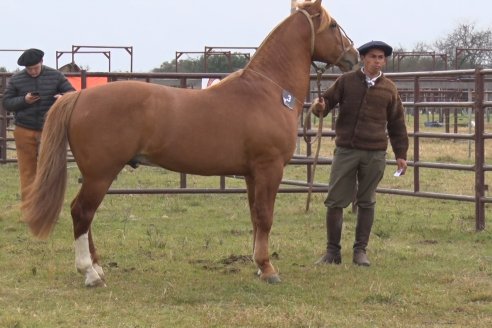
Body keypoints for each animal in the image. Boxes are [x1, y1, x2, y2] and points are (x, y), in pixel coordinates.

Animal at [21, 0, 358, 288]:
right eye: (333, 26)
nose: (353, 56)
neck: (269, 91)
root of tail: (79, 95)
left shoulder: (252, 174)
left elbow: (255, 216)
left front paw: (258, 265)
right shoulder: (269, 169)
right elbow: (265, 216)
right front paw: (268, 269)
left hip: (95, 175)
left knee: (86, 215)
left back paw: (98, 267)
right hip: (100, 174)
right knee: (81, 212)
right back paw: (90, 273)